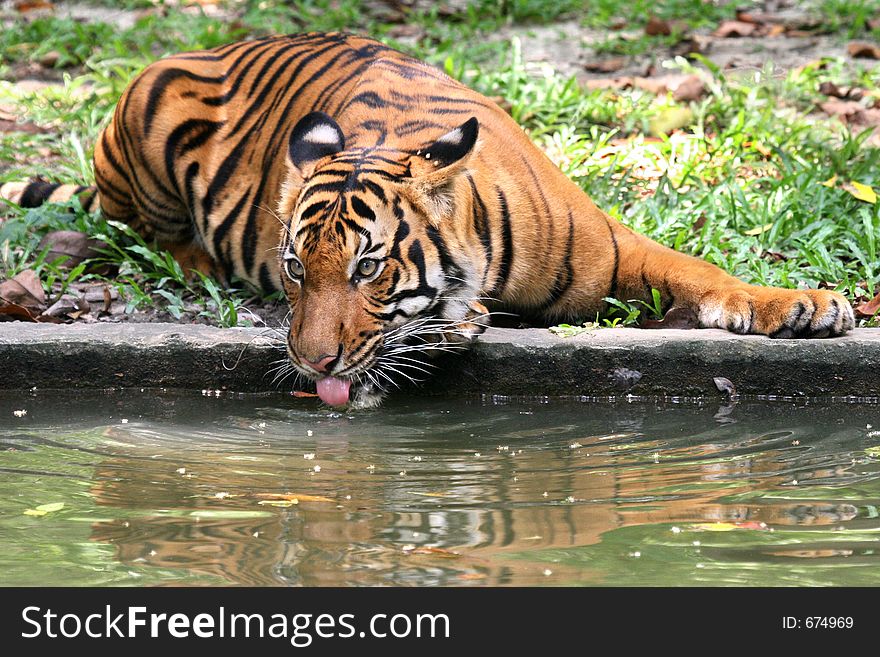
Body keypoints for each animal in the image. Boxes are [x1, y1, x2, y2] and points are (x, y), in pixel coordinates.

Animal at [0, 33, 852, 408]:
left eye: (368, 268)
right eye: (295, 269)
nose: (310, 363)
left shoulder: (612, 250)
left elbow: (701, 270)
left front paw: (803, 305)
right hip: (146, 108)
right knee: (152, 235)